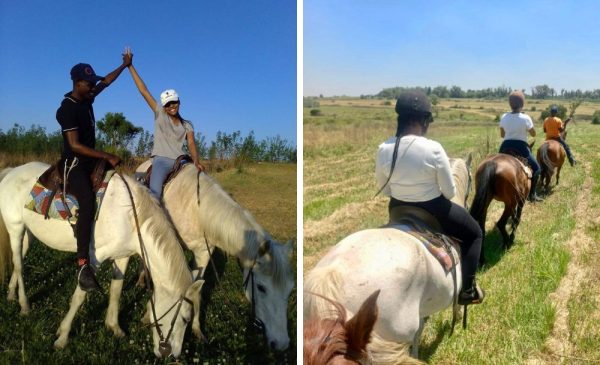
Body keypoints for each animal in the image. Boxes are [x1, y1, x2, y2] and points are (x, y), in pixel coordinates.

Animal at [0, 161, 203, 356]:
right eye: (185, 318)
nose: (172, 354)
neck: (130, 215)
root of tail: (11, 172)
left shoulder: (123, 257)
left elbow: (116, 290)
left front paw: (114, 327)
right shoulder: (94, 259)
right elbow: (79, 296)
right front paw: (62, 336)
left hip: (29, 233)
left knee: (18, 261)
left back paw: (10, 294)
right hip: (16, 229)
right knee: (19, 265)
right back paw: (24, 305)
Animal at [135, 161, 296, 350]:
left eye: (290, 290)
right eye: (261, 287)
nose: (282, 343)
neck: (197, 209)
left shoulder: (203, 254)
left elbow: (196, 290)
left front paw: (197, 329)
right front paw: (149, 314)